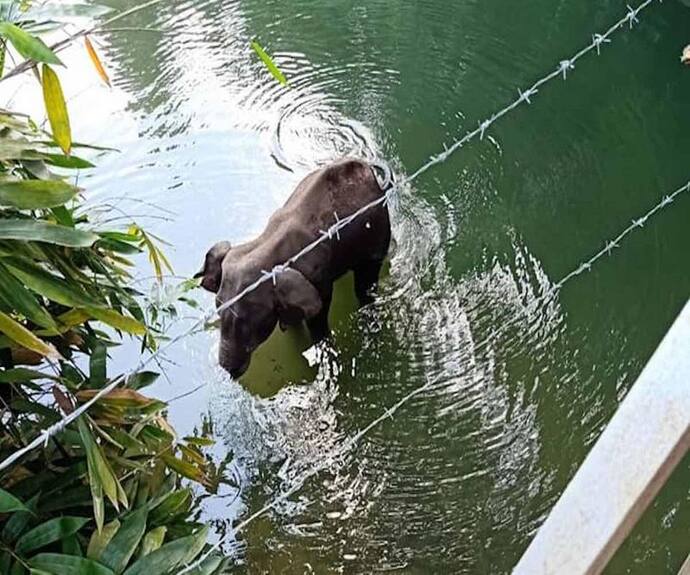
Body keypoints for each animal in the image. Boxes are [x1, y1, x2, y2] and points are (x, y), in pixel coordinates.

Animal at [196, 158, 390, 378]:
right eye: (218, 309)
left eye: (246, 322)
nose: (230, 373)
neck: (265, 243)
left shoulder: (318, 277)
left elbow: (318, 315)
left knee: (365, 283)